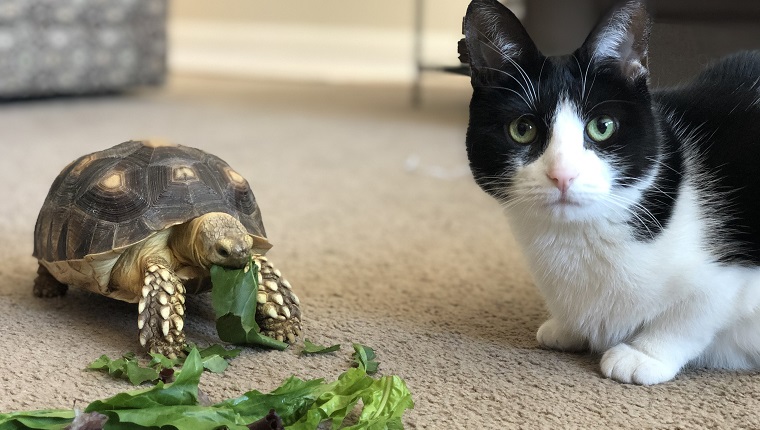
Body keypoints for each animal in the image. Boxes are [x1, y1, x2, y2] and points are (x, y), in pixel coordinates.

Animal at [458, 0, 760, 382]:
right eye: (522, 129)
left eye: (602, 127)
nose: (562, 175)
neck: (576, 238)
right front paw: (568, 327)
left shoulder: (731, 279)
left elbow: (695, 312)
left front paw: (644, 354)